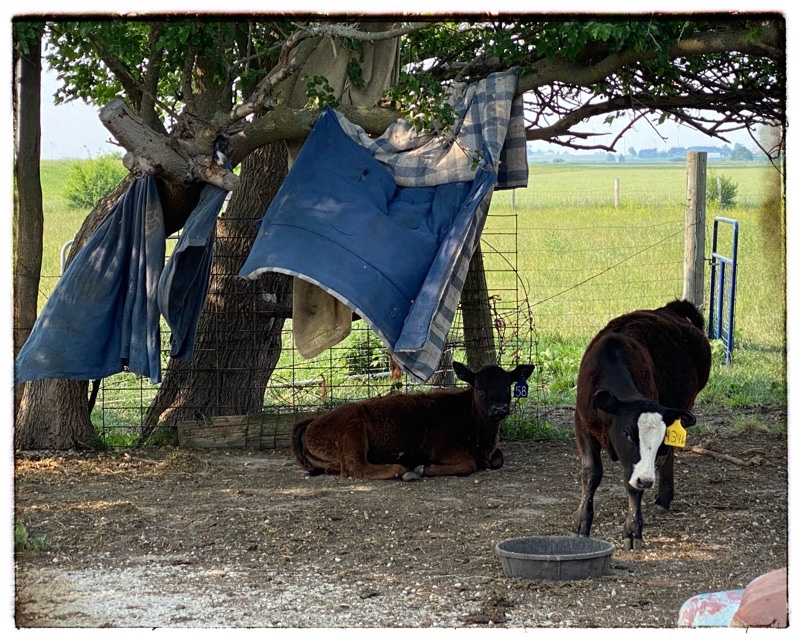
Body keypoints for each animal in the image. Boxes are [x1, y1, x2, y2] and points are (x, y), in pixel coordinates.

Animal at [290, 361, 535, 480]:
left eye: (507, 385)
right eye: (480, 387)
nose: (499, 408)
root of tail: (312, 422)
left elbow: (498, 458)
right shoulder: (441, 449)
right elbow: (469, 464)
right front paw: (422, 468)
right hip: (354, 427)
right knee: (356, 467)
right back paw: (402, 470)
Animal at [572, 299, 712, 550]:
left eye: (657, 440)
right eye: (627, 434)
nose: (646, 480)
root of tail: (669, 309)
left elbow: (632, 487)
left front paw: (633, 530)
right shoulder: (582, 425)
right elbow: (591, 473)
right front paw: (581, 524)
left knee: (669, 455)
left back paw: (664, 498)